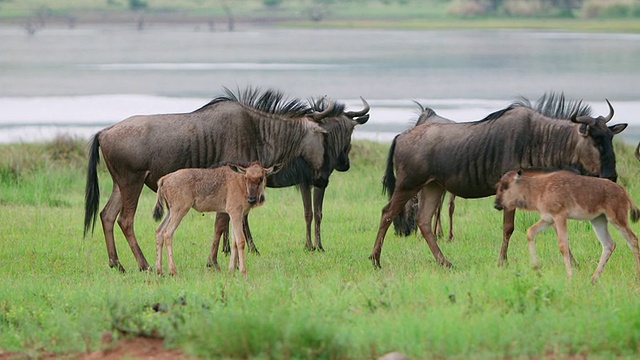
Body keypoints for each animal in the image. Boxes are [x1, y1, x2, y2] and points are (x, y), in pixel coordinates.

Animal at [496, 169, 640, 284]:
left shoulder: (560, 217)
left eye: (506, 186)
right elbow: (530, 232)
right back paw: (593, 279)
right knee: (609, 244)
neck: (540, 188)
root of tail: (623, 190)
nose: (496, 204)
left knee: (632, 239)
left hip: (617, 219)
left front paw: (570, 276)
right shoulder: (548, 219)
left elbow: (562, 245)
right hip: (597, 220)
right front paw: (536, 268)